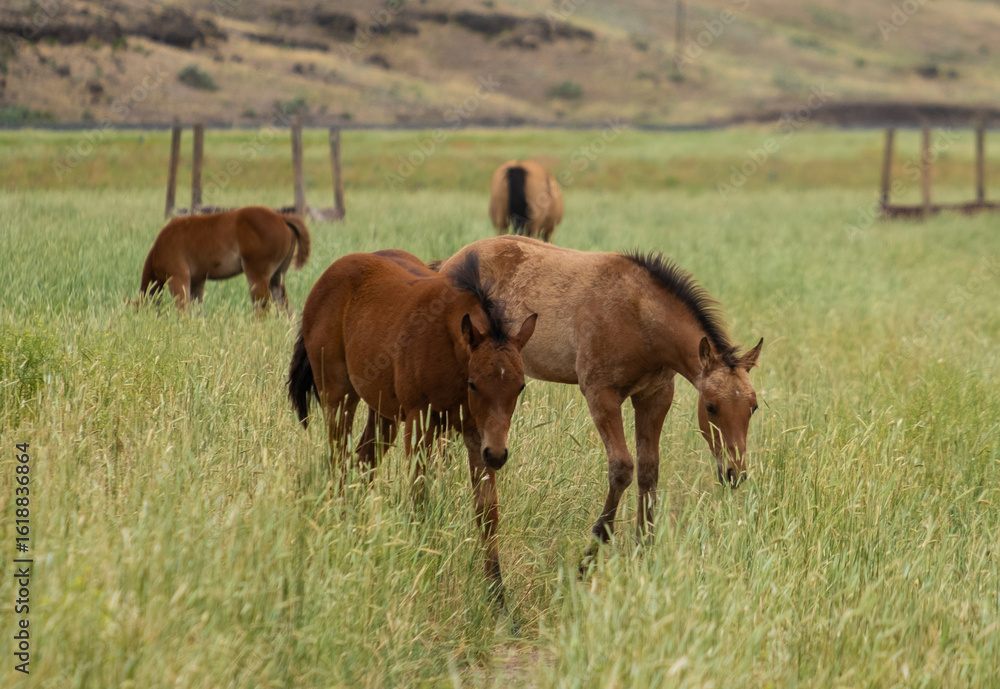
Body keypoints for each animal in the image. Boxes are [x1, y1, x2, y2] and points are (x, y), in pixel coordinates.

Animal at [138, 206, 310, 313]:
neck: (159, 248)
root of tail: (281, 217)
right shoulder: (198, 280)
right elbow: (197, 308)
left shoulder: (177, 277)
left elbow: (183, 308)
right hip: (277, 277)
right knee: (285, 307)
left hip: (258, 275)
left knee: (262, 307)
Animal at [287, 249, 537, 606]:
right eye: (474, 384)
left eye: (520, 387)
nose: (499, 455)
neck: (450, 348)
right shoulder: (420, 422)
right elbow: (419, 495)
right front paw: (422, 562)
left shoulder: (478, 433)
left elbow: (487, 512)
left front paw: (498, 598)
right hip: (338, 396)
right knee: (339, 462)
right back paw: (339, 524)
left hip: (384, 414)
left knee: (363, 462)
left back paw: (354, 530)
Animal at [437, 236, 763, 560]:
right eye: (711, 407)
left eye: (753, 408)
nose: (735, 473)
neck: (639, 315)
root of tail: (448, 264)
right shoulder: (600, 394)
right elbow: (621, 468)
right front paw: (591, 552)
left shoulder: (655, 396)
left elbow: (648, 469)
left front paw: (644, 549)